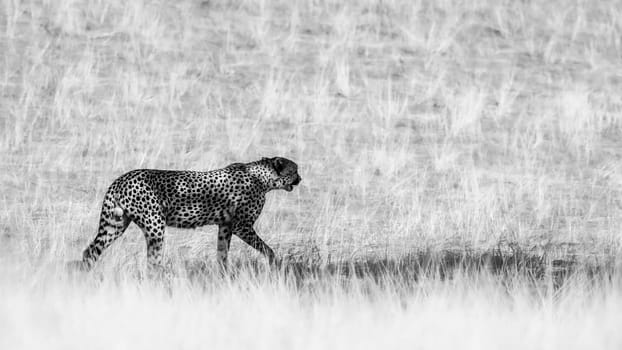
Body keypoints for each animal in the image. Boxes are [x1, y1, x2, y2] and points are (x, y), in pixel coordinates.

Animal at [78, 157, 302, 270]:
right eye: (295, 170)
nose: (300, 179)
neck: (263, 178)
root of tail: (121, 179)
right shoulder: (241, 226)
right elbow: (267, 249)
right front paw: (275, 264)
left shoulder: (226, 225)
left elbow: (222, 253)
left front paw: (223, 275)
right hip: (155, 225)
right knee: (153, 261)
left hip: (115, 224)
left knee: (90, 251)